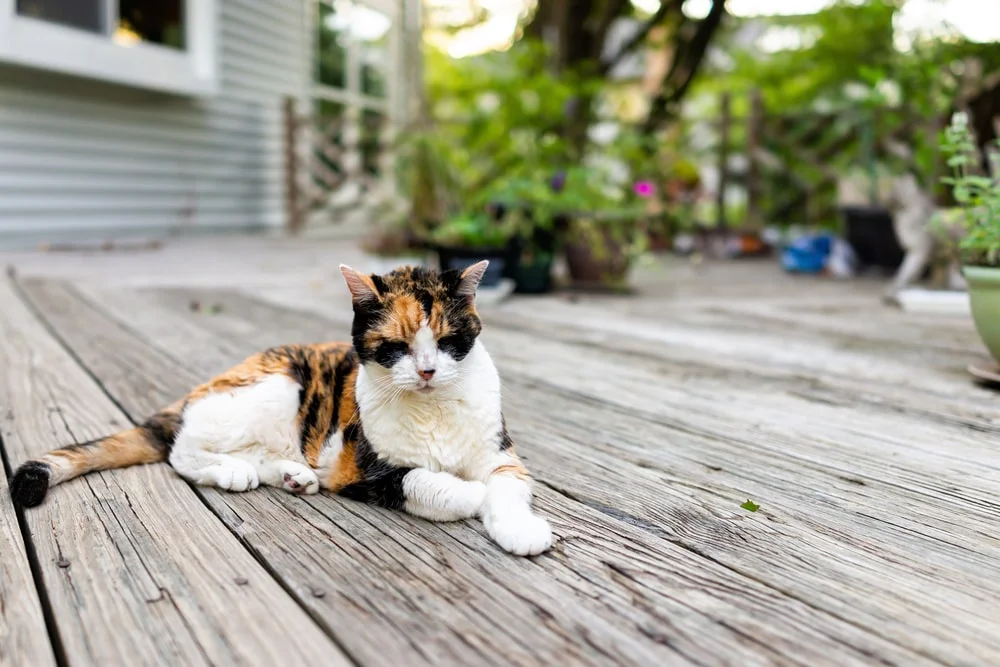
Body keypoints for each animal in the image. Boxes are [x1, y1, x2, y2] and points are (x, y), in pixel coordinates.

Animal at [9, 260, 556, 560]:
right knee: (182, 449)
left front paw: (520, 528)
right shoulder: (364, 468)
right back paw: (232, 471)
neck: (433, 409)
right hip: (278, 386)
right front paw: (469, 496)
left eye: (446, 342)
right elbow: (425, 481)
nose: (425, 371)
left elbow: (506, 486)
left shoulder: (500, 455)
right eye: (397, 347)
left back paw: (294, 475)